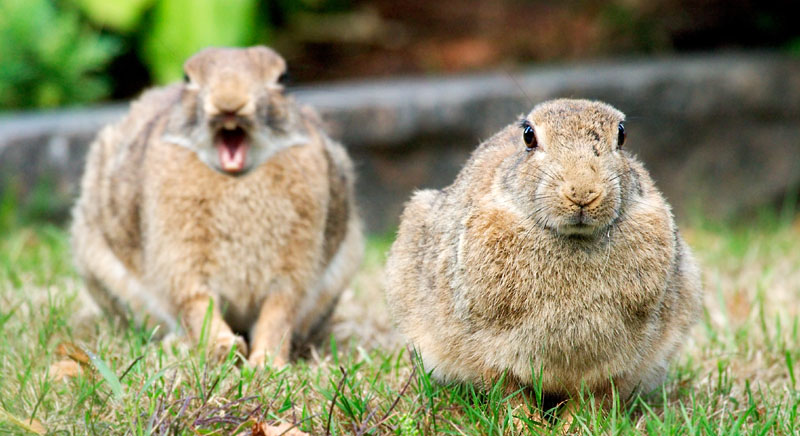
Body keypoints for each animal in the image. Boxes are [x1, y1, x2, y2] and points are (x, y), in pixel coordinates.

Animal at [70, 46, 364, 368]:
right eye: (187, 78)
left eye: (283, 78)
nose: (229, 102)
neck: (235, 177)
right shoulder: (183, 263)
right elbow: (198, 305)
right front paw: (225, 349)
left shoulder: (291, 273)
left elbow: (277, 313)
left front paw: (266, 362)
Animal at [384, 98, 704, 422]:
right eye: (529, 137)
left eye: (622, 135)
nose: (582, 192)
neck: (574, 238)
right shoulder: (490, 349)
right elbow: (509, 393)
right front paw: (524, 424)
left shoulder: (614, 364)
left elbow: (590, 398)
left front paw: (574, 426)